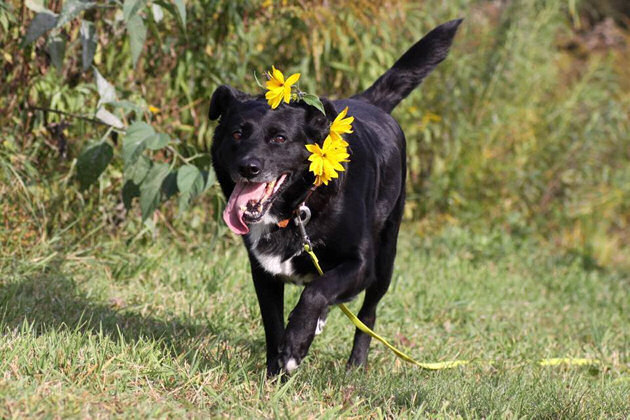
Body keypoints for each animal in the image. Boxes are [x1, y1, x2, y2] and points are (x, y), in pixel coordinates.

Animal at [210, 19, 462, 376]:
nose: (249, 167)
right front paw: (276, 372)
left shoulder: (360, 264)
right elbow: (273, 324)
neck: (300, 206)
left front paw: (296, 344)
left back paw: (355, 365)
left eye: (279, 138)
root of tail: (369, 103)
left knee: (367, 313)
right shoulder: (263, 273)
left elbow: (317, 291)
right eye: (236, 133)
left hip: (386, 258)